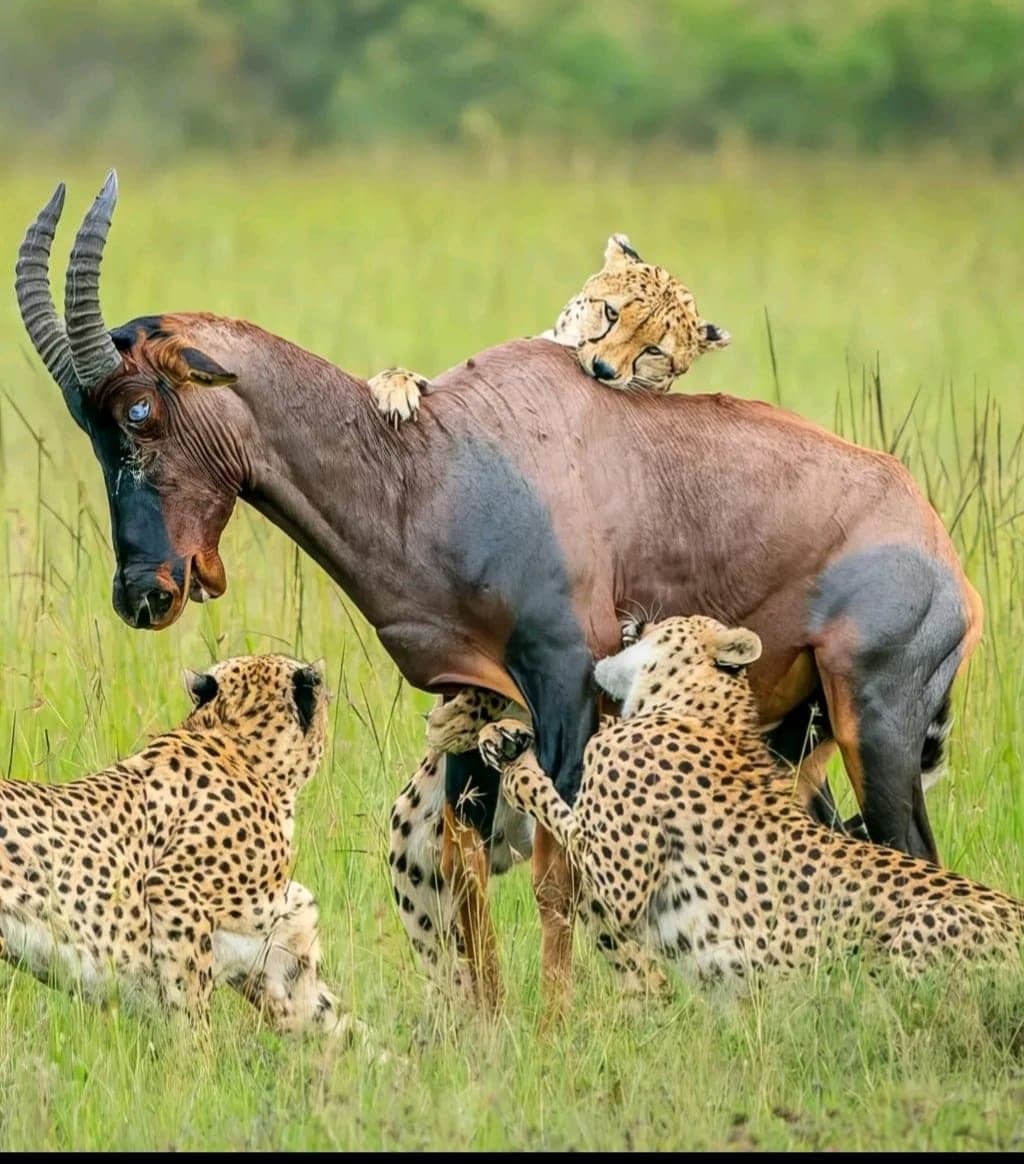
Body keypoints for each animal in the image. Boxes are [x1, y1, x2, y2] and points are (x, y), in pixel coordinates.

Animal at [0, 653, 359, 1039]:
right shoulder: (175, 893)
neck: (237, 740)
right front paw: (194, 1053)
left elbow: (344, 1029)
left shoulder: (280, 962)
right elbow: (189, 1010)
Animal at [467, 615, 1024, 996]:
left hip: (920, 935)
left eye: (664, 623)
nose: (634, 620)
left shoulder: (620, 883)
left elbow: (557, 804)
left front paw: (519, 769)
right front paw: (504, 733)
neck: (693, 706)